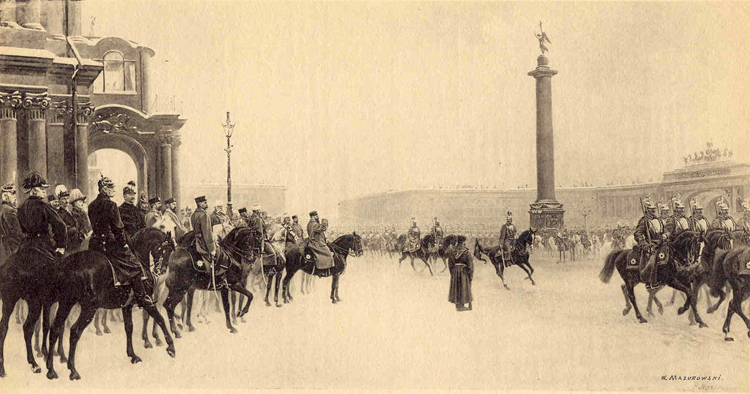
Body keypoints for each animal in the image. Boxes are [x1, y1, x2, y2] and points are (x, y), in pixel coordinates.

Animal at [43, 229, 178, 380]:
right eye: (166, 250)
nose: (162, 271)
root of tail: (67, 265)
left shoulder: (127, 306)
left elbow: (129, 327)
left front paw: (132, 355)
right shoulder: (146, 301)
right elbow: (160, 319)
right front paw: (171, 347)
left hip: (66, 303)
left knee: (55, 329)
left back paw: (51, 370)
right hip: (88, 308)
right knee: (74, 331)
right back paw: (73, 370)